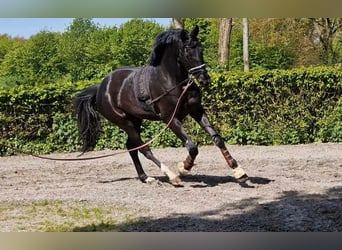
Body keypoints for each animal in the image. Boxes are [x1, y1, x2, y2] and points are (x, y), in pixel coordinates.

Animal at [75, 26, 248, 187]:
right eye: (187, 52)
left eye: (201, 49)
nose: (204, 79)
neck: (172, 81)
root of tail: (101, 88)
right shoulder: (169, 119)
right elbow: (192, 147)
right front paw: (183, 168)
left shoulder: (196, 111)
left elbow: (217, 139)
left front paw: (238, 171)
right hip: (124, 122)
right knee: (143, 148)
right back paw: (171, 176)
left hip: (135, 120)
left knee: (132, 147)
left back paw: (145, 178)